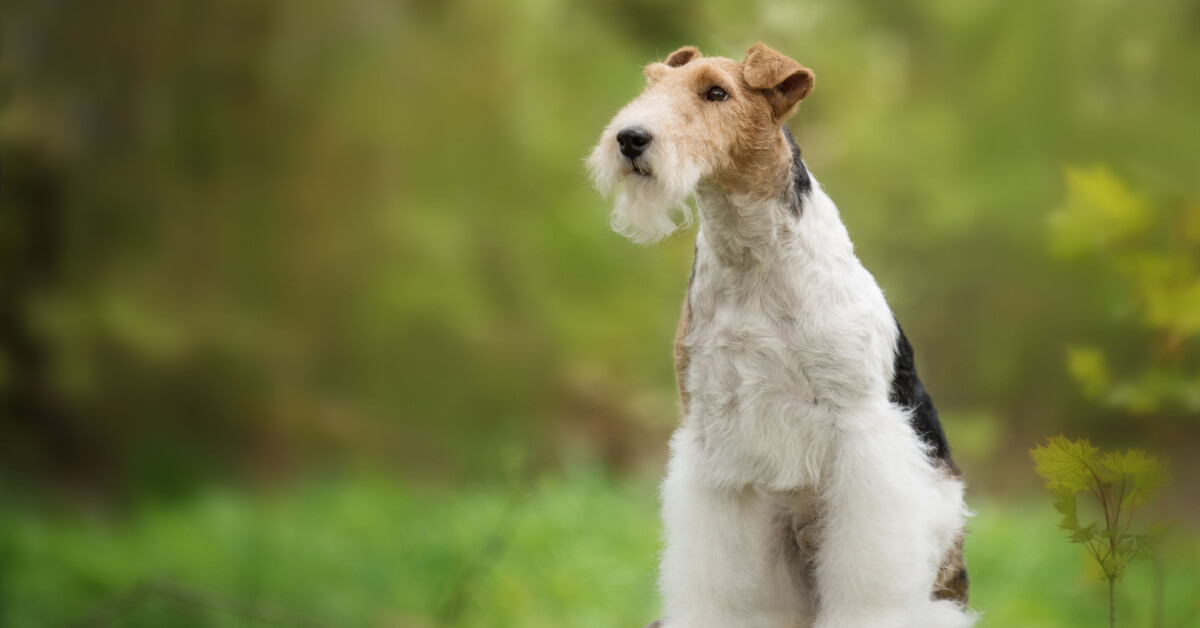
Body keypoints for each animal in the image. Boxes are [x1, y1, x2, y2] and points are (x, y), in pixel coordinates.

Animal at [588, 44, 974, 628]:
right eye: (652, 85)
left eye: (717, 92)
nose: (629, 138)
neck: (751, 256)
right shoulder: (712, 436)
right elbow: (714, 579)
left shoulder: (864, 435)